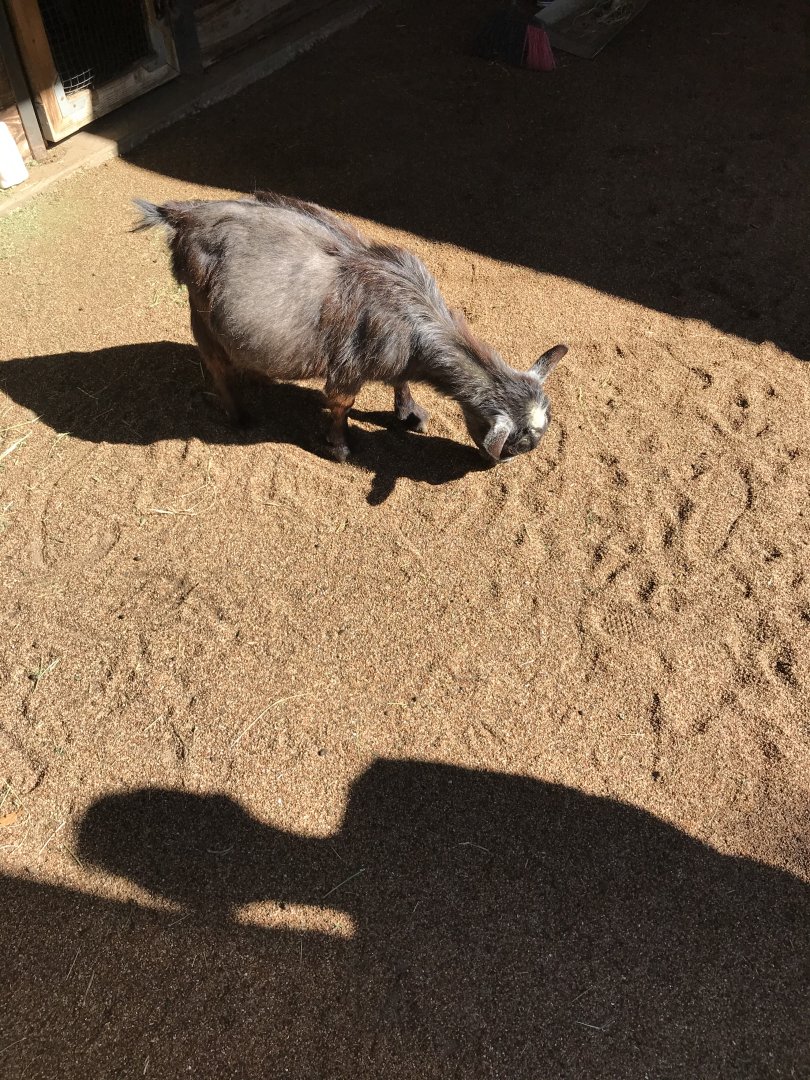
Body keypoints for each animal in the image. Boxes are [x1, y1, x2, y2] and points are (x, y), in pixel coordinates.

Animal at [133, 191, 567, 463]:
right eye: (519, 442)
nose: (495, 464)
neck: (413, 317)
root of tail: (184, 215)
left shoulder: (392, 355)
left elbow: (399, 381)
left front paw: (409, 414)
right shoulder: (349, 364)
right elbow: (342, 404)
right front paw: (340, 448)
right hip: (200, 308)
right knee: (215, 365)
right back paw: (238, 415)